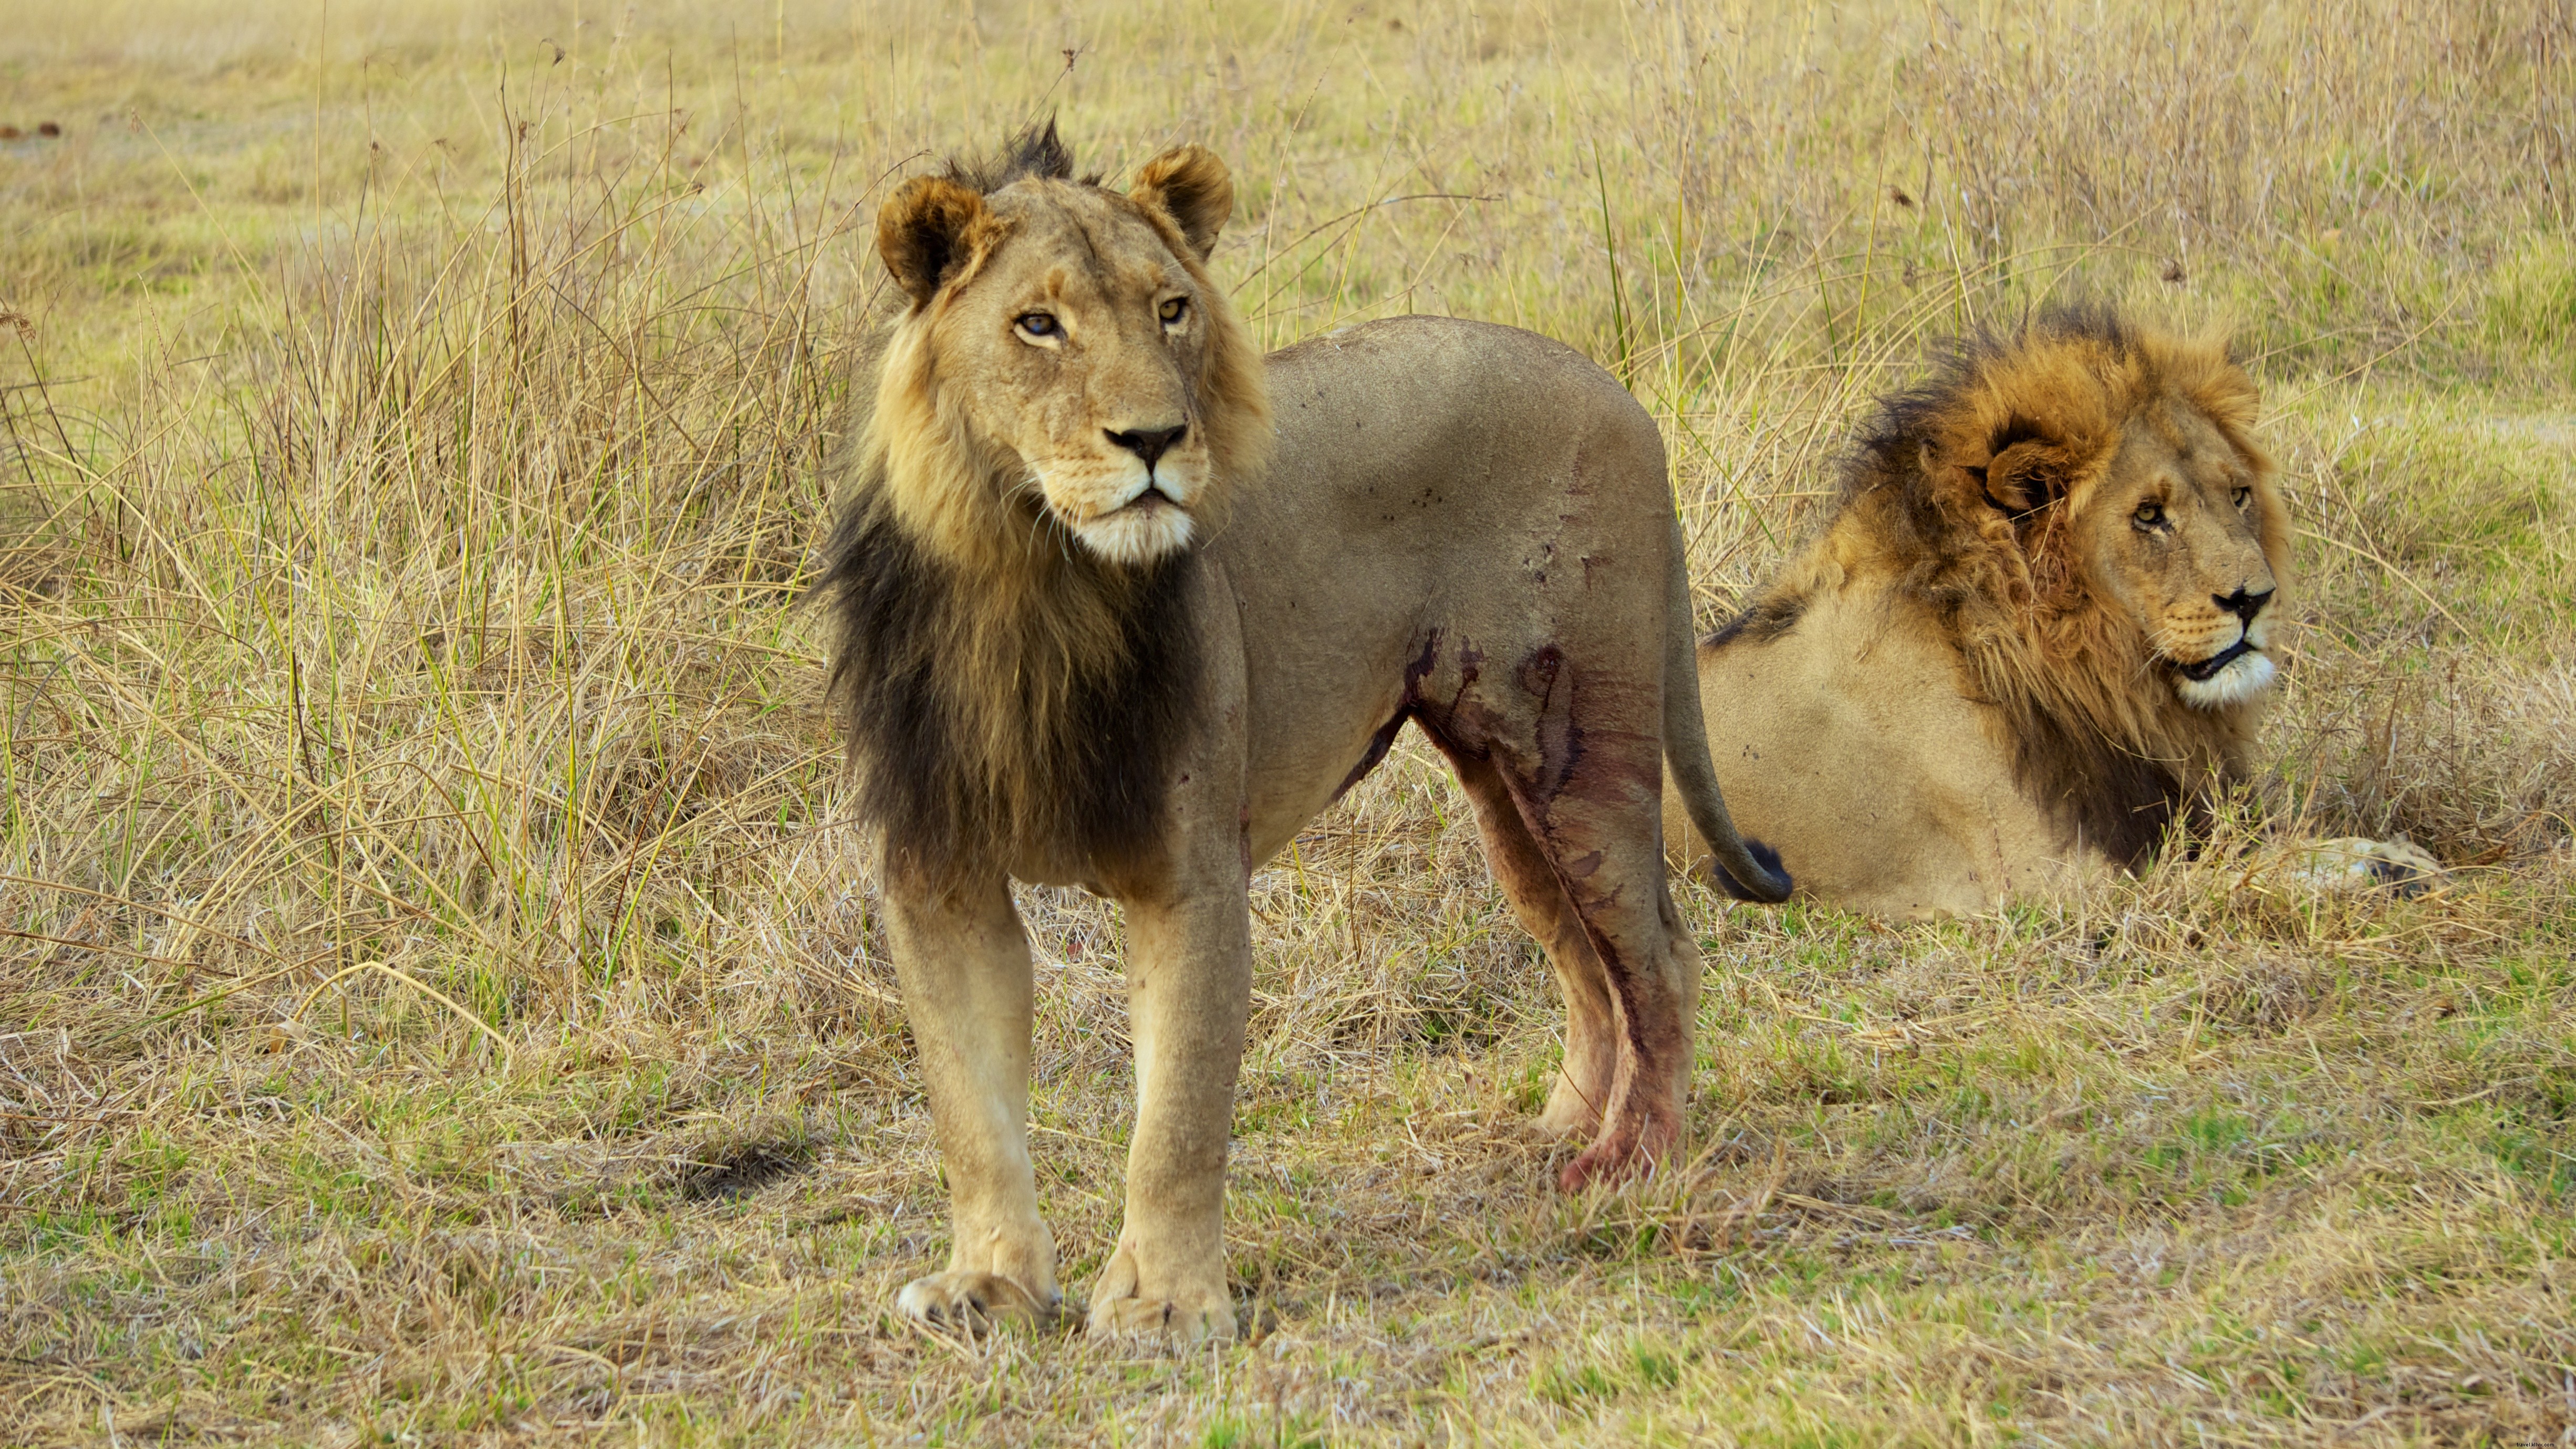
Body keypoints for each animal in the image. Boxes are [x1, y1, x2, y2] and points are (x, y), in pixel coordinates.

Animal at [815, 123, 1789, 1343]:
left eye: (1171, 308)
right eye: (1036, 324)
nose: (1154, 438)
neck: (1029, 578)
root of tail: (1616, 390)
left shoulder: (1189, 870)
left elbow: (1178, 1108)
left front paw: (1166, 1302)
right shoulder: (935, 872)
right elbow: (968, 1109)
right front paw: (988, 1283)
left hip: (1579, 751)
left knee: (1656, 952)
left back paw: (1628, 1161)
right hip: (1503, 791)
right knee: (1582, 961)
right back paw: (1558, 1129)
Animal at [1664, 306, 2439, 920]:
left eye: (2239, 495)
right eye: (2149, 515)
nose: (2254, 597)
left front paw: (2383, 852)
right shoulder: (2041, 883)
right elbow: (2223, 875)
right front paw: (2384, 865)